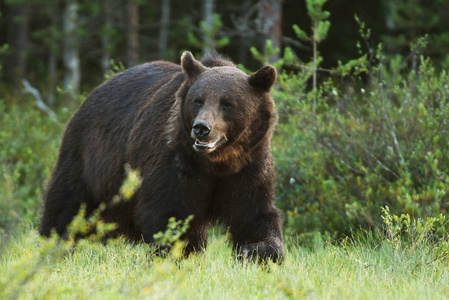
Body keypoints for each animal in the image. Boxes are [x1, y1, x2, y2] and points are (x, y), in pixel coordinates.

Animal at [39, 51, 284, 262]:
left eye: (227, 103)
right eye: (198, 100)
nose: (201, 128)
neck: (217, 161)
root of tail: (92, 93)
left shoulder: (250, 164)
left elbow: (254, 213)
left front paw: (256, 251)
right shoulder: (174, 160)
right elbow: (170, 211)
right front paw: (178, 252)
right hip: (90, 156)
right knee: (68, 202)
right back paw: (53, 243)